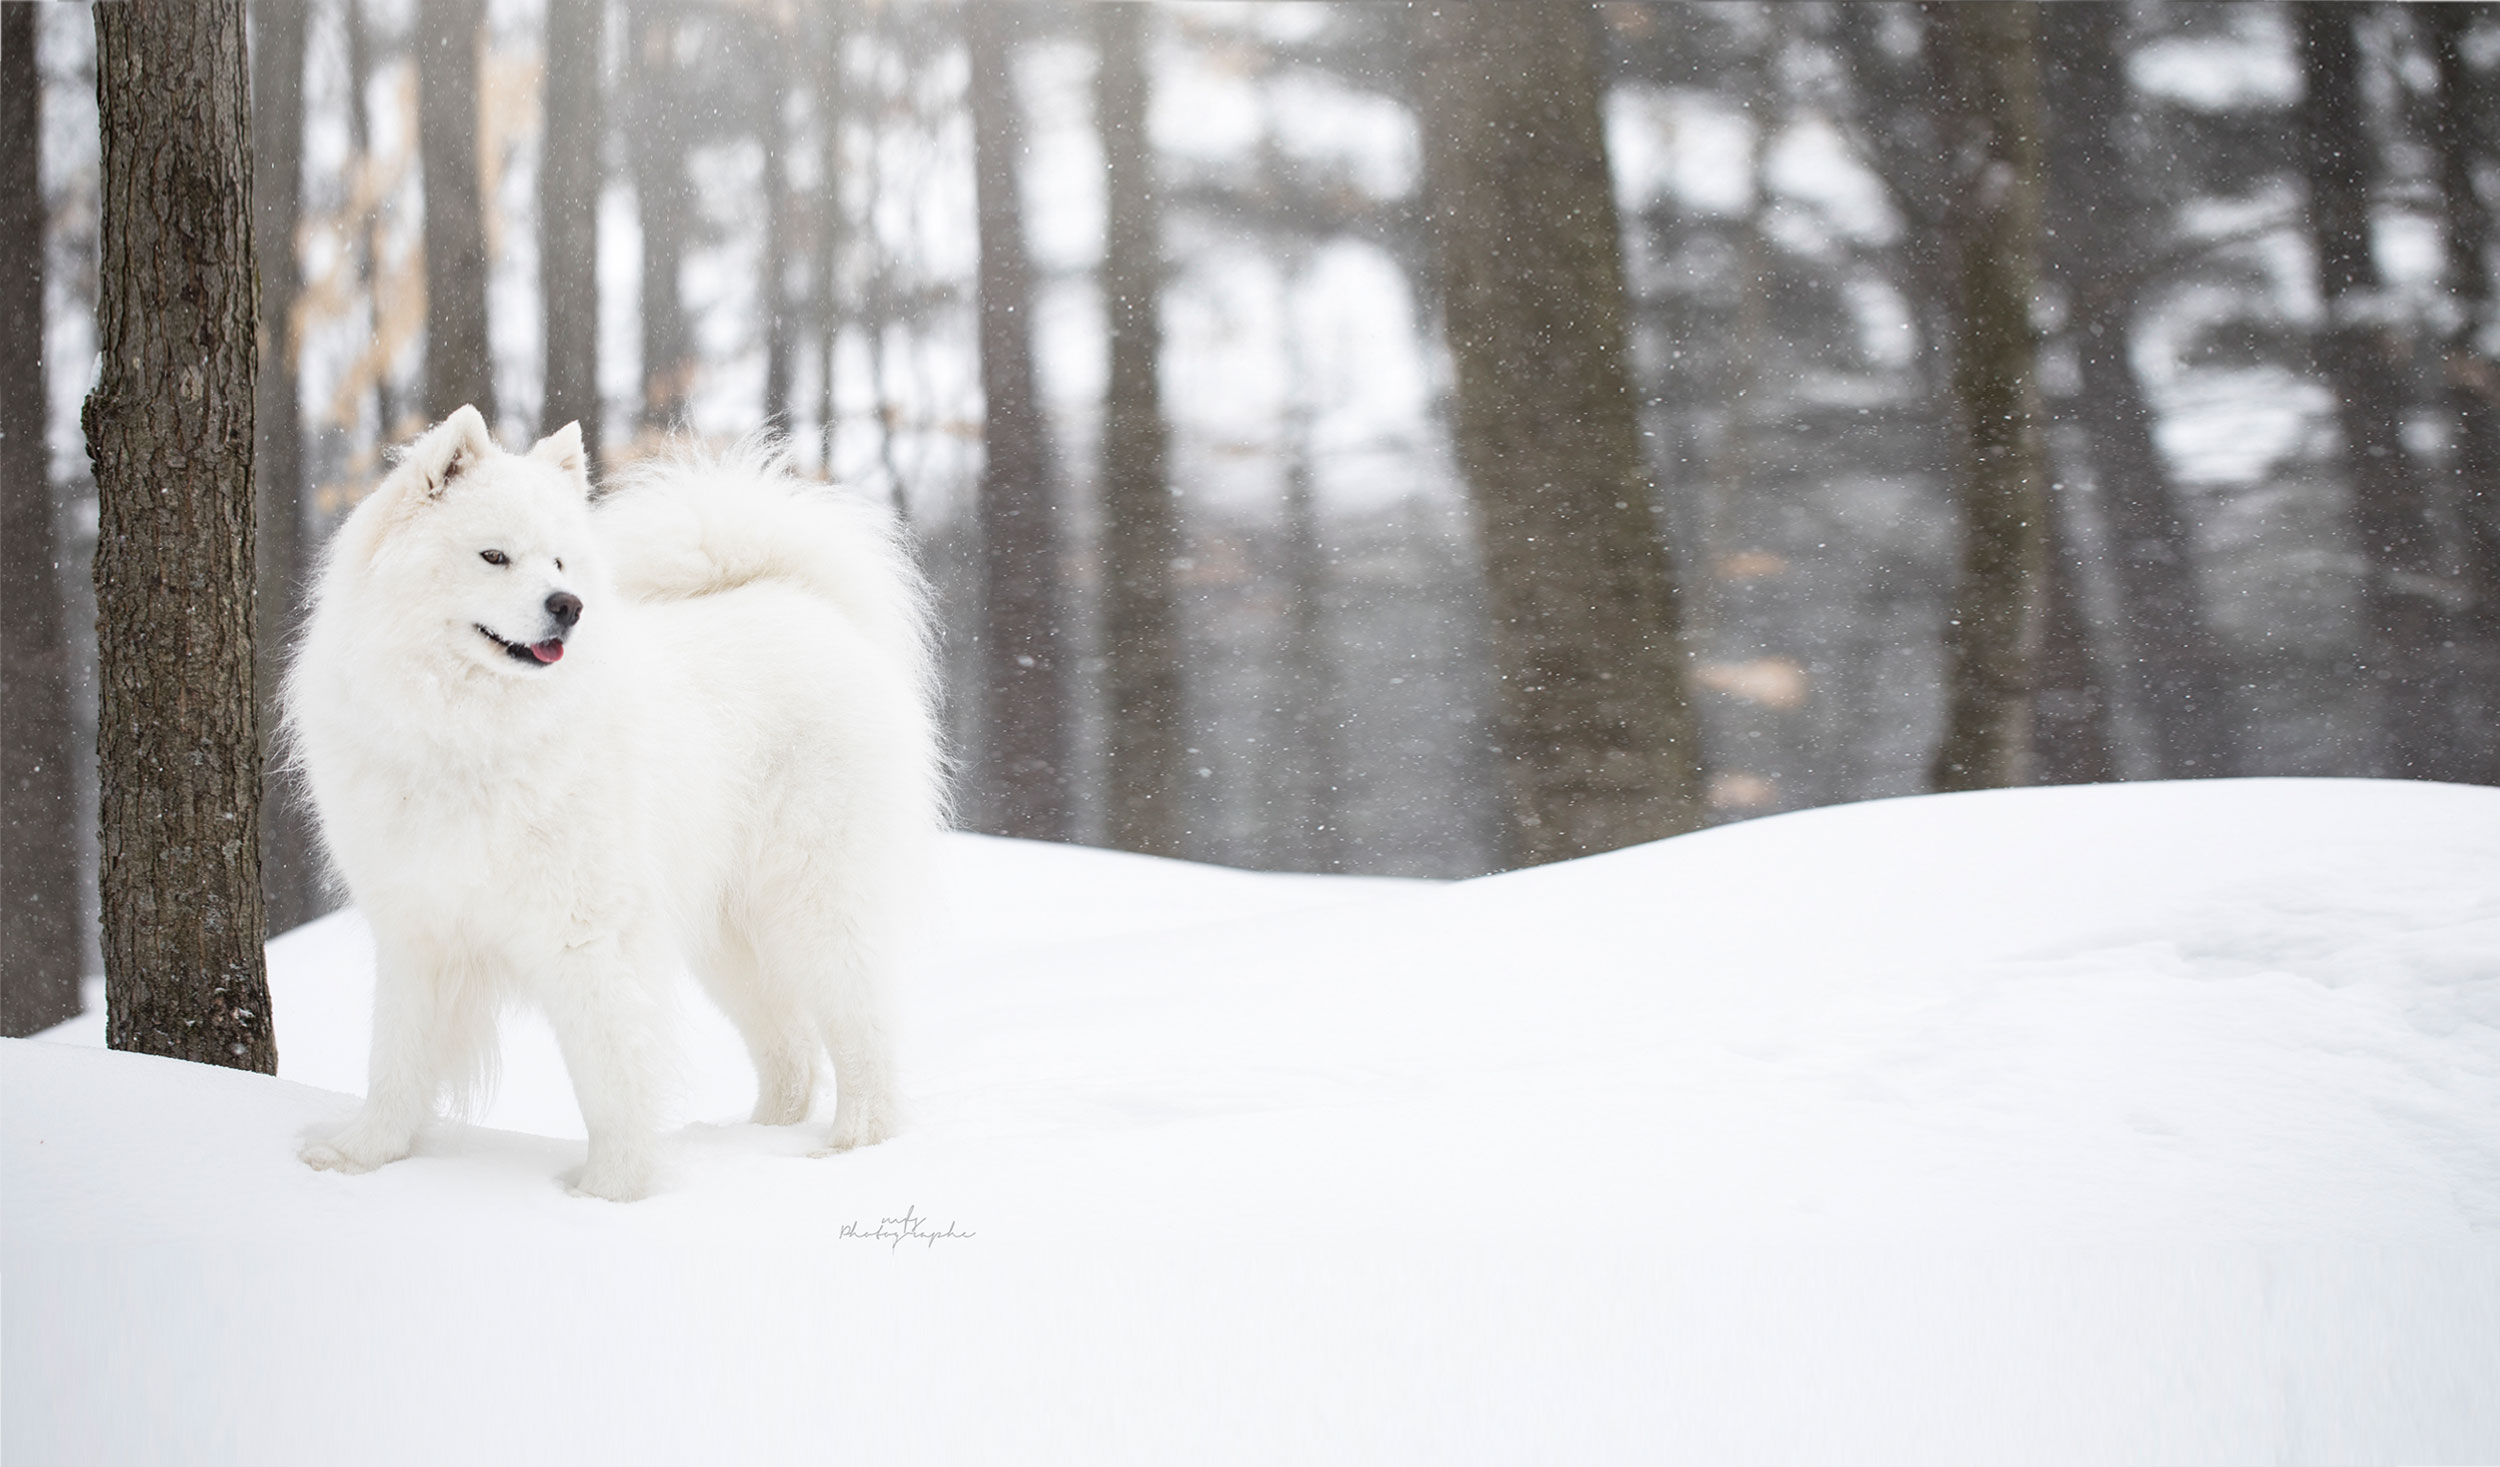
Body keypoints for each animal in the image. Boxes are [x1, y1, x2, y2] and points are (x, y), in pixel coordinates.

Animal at [286, 407, 945, 1199]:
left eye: (561, 564)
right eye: (495, 556)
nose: (566, 607)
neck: (473, 733)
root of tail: (809, 608)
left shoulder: (588, 935)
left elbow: (612, 1072)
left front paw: (613, 1192)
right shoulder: (420, 930)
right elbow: (394, 1060)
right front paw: (361, 1156)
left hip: (817, 909)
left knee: (863, 1035)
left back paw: (850, 1147)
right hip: (732, 940)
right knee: (789, 1049)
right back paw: (756, 1141)